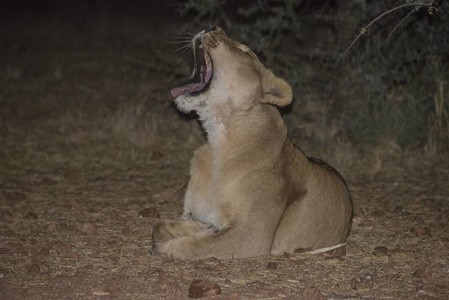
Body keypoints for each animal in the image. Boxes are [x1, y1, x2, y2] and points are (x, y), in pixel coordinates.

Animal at [150, 25, 354, 258]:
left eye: (246, 52)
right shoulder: (192, 213)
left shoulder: (252, 236)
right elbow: (159, 226)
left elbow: (196, 245)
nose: (211, 27)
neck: (219, 140)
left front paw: (174, 245)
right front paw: (202, 228)